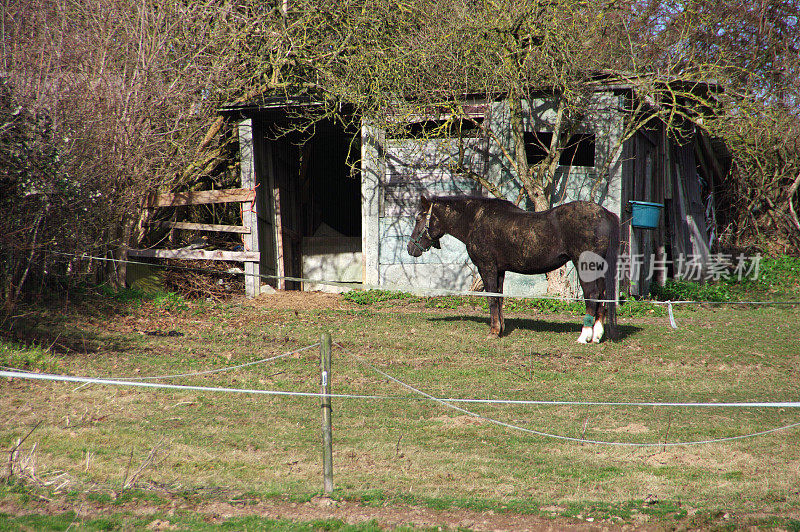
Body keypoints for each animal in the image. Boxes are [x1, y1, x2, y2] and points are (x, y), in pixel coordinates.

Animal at [406, 195, 620, 340]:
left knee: (592, 295)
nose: (410, 248)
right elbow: (499, 298)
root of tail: (604, 213)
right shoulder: (500, 271)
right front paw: (500, 328)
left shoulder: (487, 268)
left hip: (585, 266)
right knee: (602, 295)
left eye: (418, 219)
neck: (475, 220)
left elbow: (492, 298)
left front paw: (493, 332)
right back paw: (597, 335)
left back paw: (584, 336)